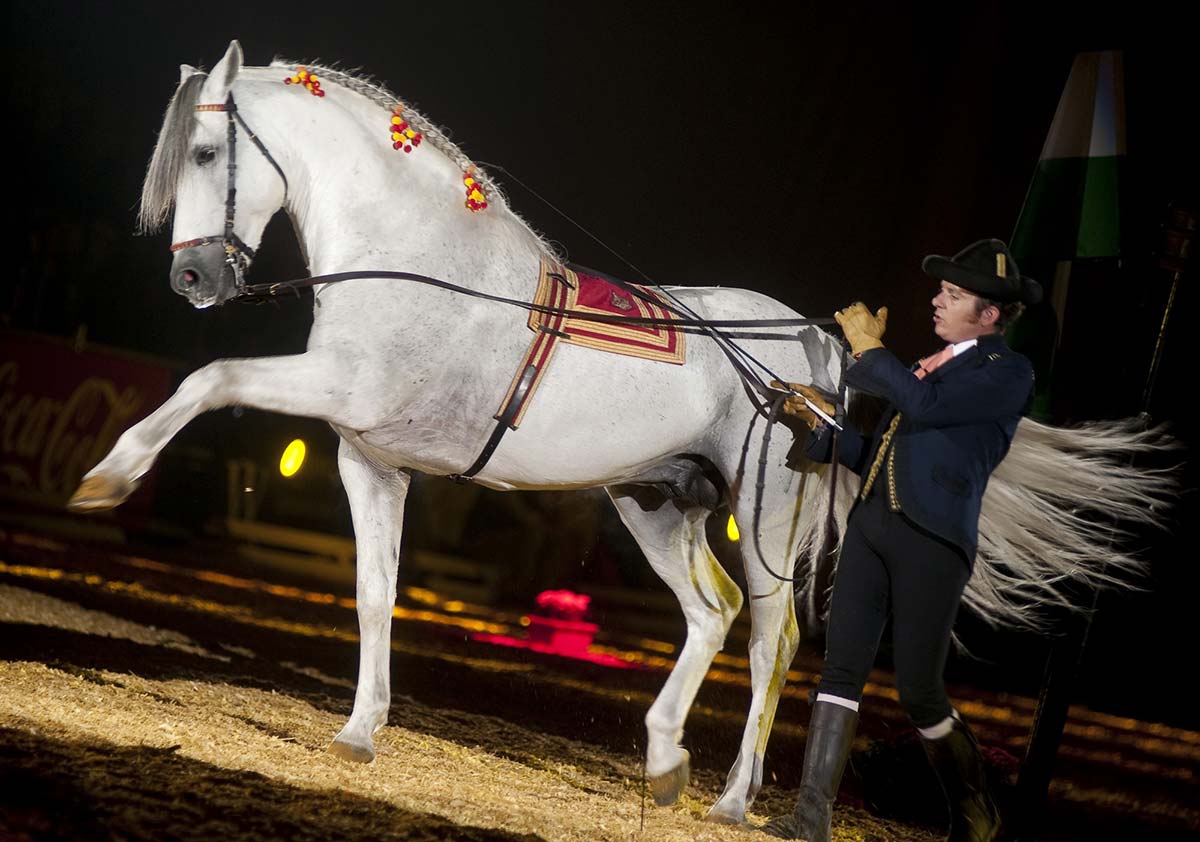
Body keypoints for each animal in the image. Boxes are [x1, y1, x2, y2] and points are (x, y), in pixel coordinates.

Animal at [68, 42, 1171, 830]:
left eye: (208, 153)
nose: (194, 280)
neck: (418, 258)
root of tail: (813, 343)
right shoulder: (369, 457)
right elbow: (376, 594)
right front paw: (359, 731)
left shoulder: (339, 393)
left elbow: (210, 377)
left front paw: (106, 479)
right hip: (653, 501)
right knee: (711, 614)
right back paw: (664, 761)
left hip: (765, 514)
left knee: (770, 636)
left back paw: (733, 798)